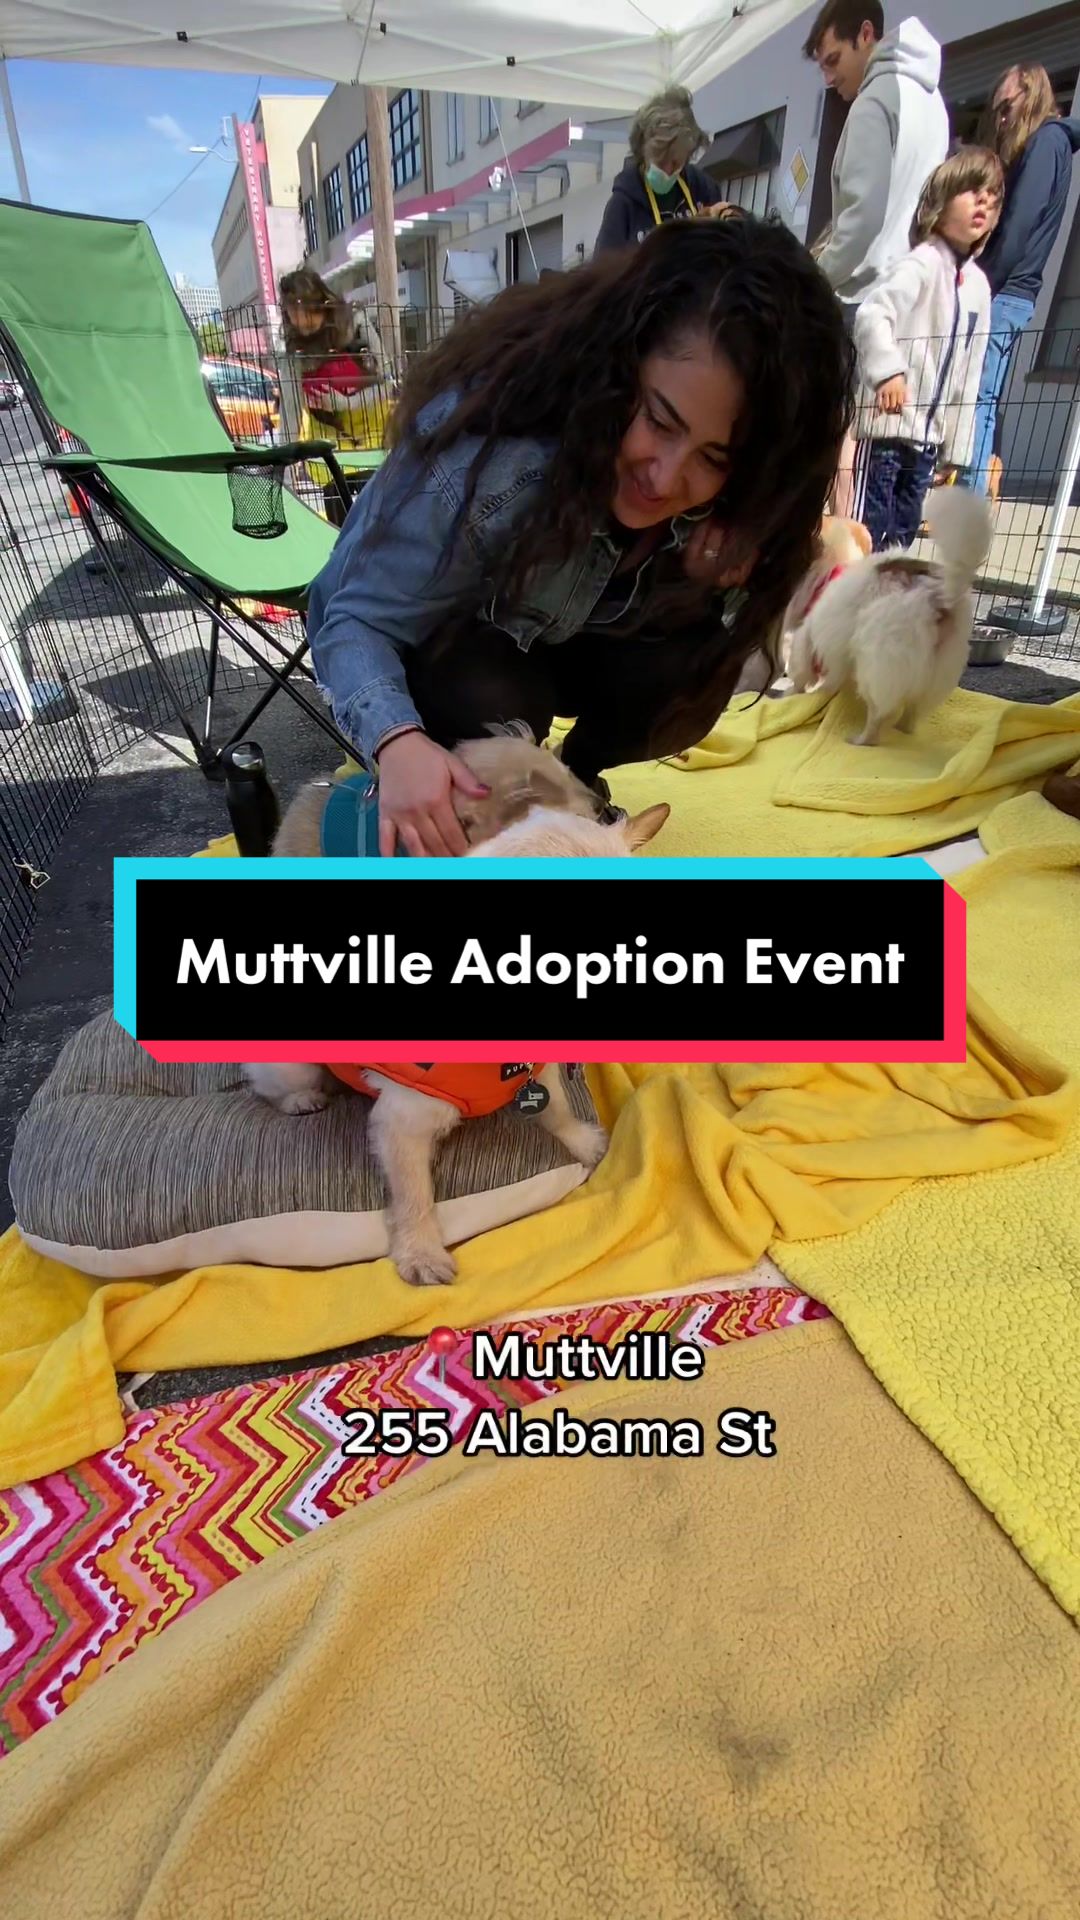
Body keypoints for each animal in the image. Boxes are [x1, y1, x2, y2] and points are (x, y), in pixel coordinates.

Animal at [246, 736, 669, 1286]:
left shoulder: (538, 1073)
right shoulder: (401, 1125)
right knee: (272, 1084)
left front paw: (581, 1142)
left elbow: (554, 1107)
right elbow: (415, 1195)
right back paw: (300, 1099)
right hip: (291, 1065)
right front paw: (421, 1251)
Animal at [786, 487, 992, 746]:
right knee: (912, 712)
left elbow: (803, 676)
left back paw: (861, 740)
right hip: (937, 672)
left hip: (876, 665)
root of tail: (941, 598)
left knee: (877, 714)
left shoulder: (809, 638)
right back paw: (902, 730)